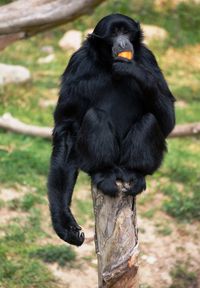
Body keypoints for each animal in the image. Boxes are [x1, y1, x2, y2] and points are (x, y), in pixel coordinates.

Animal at [47, 14, 175, 246]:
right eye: (114, 34)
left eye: (126, 32)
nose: (123, 42)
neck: (108, 64)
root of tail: (119, 168)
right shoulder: (78, 63)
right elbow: (67, 128)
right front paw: (64, 222)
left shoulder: (149, 59)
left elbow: (168, 121)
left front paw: (133, 70)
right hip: (88, 159)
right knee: (94, 116)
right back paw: (104, 172)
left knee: (150, 119)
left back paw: (134, 172)